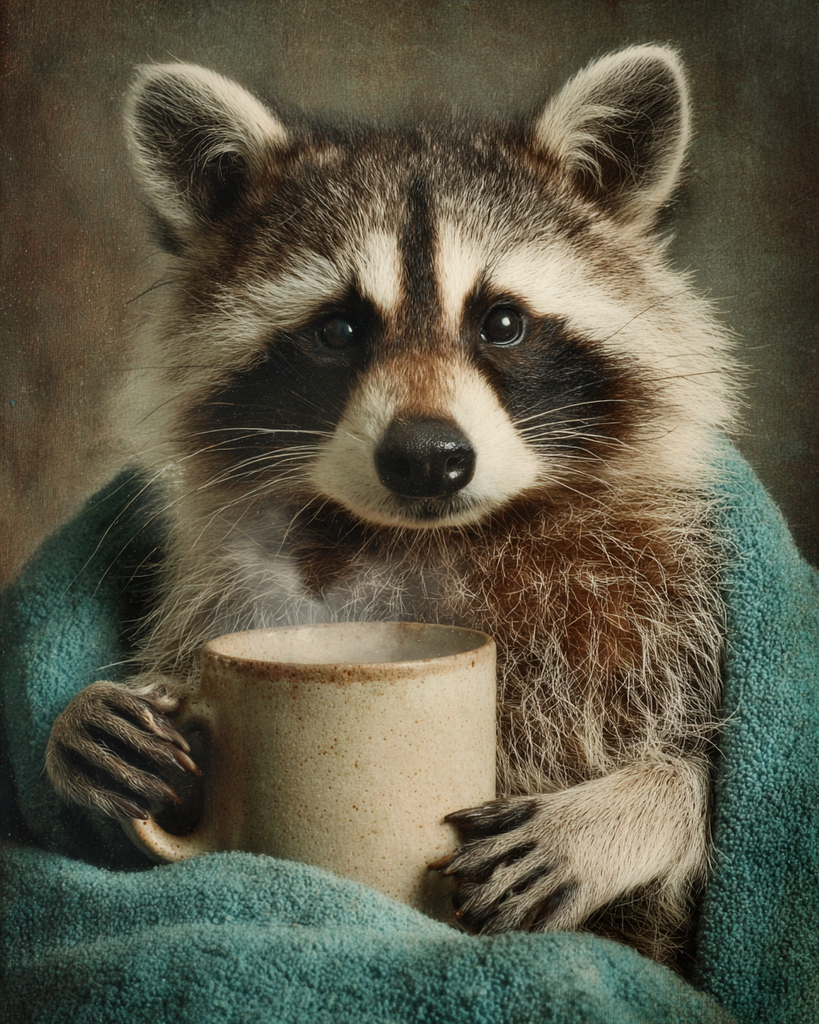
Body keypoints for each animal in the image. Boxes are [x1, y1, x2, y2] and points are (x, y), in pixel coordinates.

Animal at [46, 45, 738, 966]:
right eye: (338, 330)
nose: (427, 458)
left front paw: (626, 809)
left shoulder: (673, 600)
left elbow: (710, 782)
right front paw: (75, 733)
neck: (434, 539)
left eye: (501, 323)